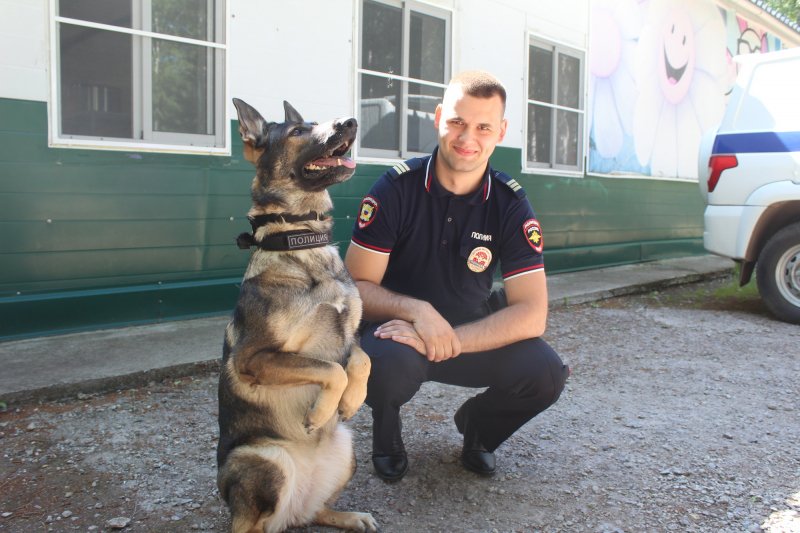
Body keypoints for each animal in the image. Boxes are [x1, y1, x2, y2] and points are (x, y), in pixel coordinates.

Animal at [217, 97, 376, 528]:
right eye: (298, 131)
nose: (352, 121)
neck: (303, 242)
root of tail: (289, 513)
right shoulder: (255, 359)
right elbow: (331, 369)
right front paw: (323, 412)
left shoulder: (351, 336)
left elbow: (361, 361)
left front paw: (351, 401)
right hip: (265, 460)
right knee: (250, 525)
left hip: (348, 449)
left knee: (316, 511)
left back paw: (350, 517)